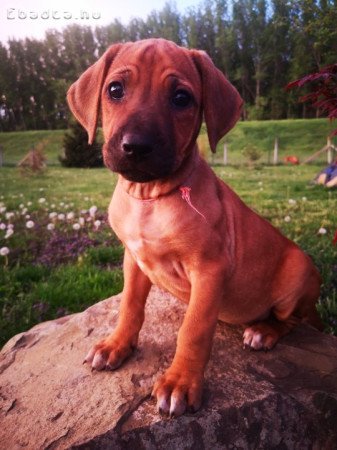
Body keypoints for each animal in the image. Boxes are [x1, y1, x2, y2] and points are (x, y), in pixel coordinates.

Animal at [67, 39, 322, 418]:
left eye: (181, 98)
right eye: (115, 89)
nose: (135, 146)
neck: (150, 197)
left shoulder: (209, 270)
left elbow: (194, 330)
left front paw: (180, 383)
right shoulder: (133, 259)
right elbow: (129, 306)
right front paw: (117, 344)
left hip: (299, 271)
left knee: (292, 321)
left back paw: (263, 332)